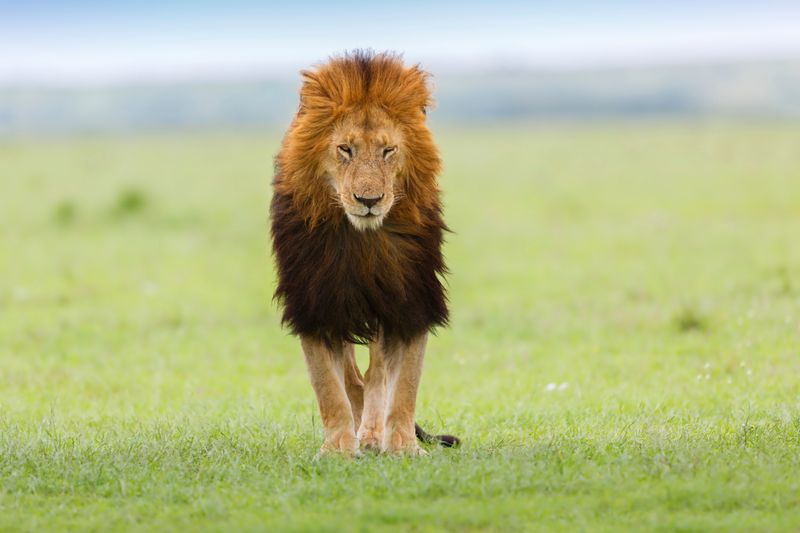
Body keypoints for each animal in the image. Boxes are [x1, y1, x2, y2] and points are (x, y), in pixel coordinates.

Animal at [270, 50, 459, 456]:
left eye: (388, 150)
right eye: (346, 149)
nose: (369, 200)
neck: (362, 240)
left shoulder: (409, 298)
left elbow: (403, 384)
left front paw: (403, 447)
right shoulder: (315, 301)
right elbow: (329, 386)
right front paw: (339, 449)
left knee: (375, 373)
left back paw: (373, 433)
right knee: (353, 377)